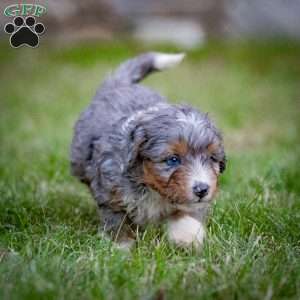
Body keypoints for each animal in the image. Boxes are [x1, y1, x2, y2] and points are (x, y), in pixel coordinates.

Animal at [69, 52, 225, 250]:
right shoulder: (110, 194)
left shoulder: (188, 203)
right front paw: (120, 248)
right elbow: (118, 223)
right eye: (173, 159)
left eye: (212, 158)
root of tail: (120, 84)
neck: (151, 187)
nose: (202, 189)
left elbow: (185, 215)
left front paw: (187, 238)